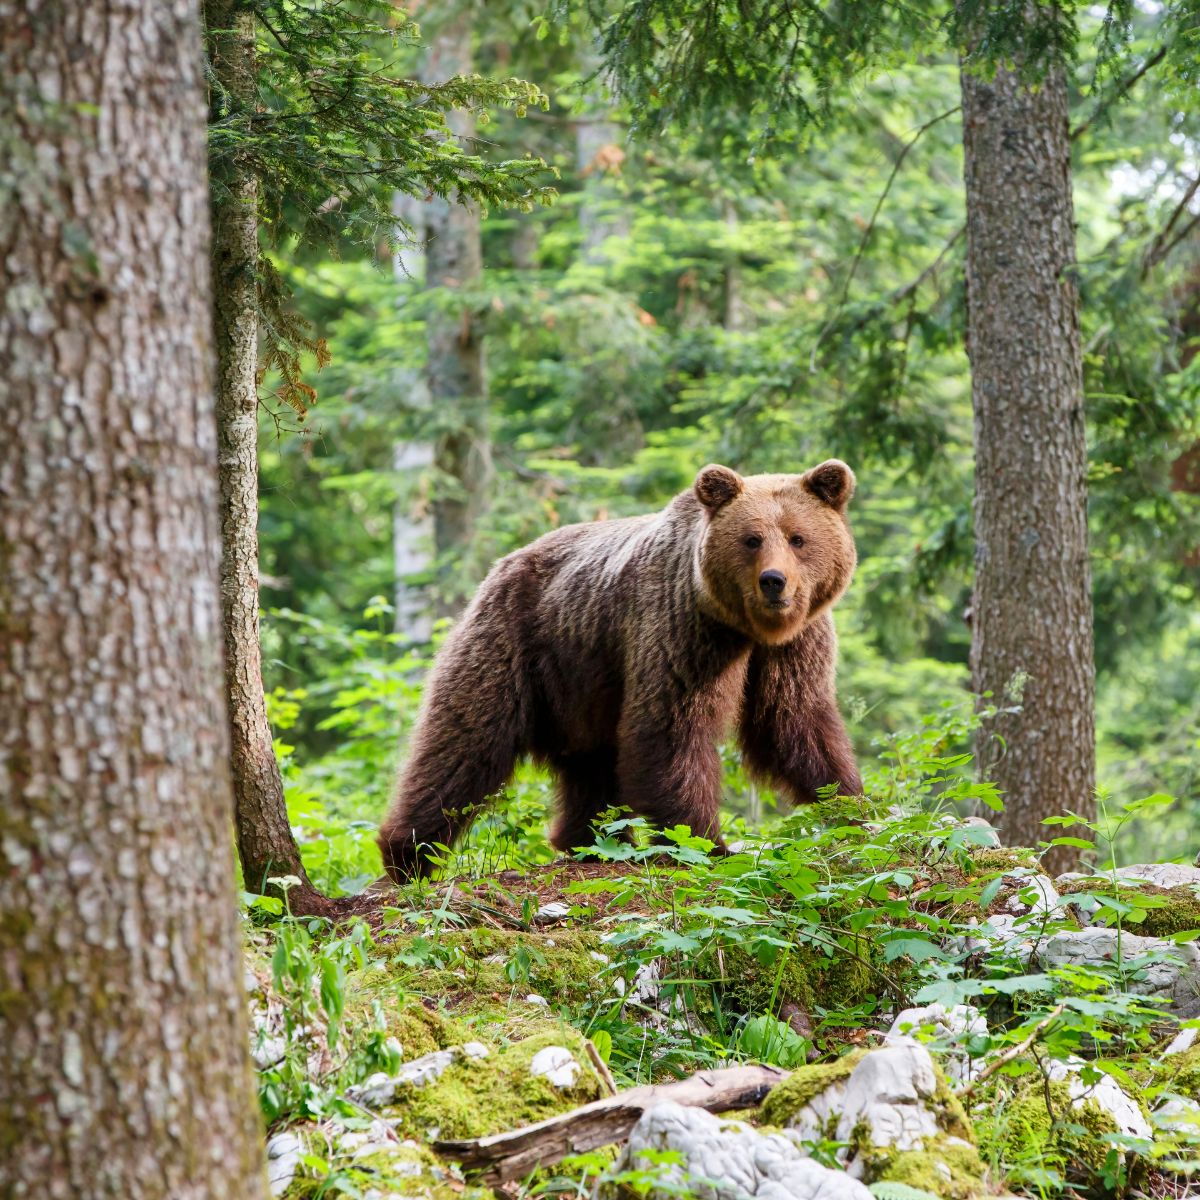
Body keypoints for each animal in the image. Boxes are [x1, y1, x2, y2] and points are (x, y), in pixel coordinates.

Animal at [379, 458, 859, 883]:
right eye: (752, 539)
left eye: (798, 538)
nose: (774, 582)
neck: (744, 627)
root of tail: (502, 564)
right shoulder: (682, 627)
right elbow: (671, 725)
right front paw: (706, 842)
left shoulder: (795, 643)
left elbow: (793, 720)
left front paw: (851, 805)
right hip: (513, 642)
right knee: (465, 741)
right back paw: (409, 855)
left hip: (580, 681)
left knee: (590, 764)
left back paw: (590, 841)